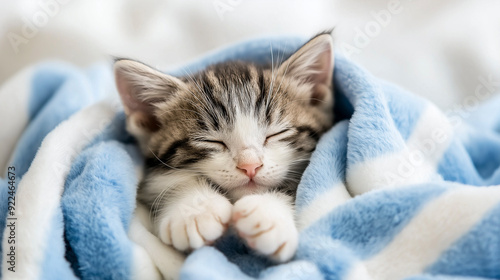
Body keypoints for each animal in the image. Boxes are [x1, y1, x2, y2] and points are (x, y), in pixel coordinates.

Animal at [114, 32, 334, 262]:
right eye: (212, 141)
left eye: (276, 133)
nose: (250, 166)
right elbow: (161, 181)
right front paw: (195, 210)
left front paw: (267, 214)